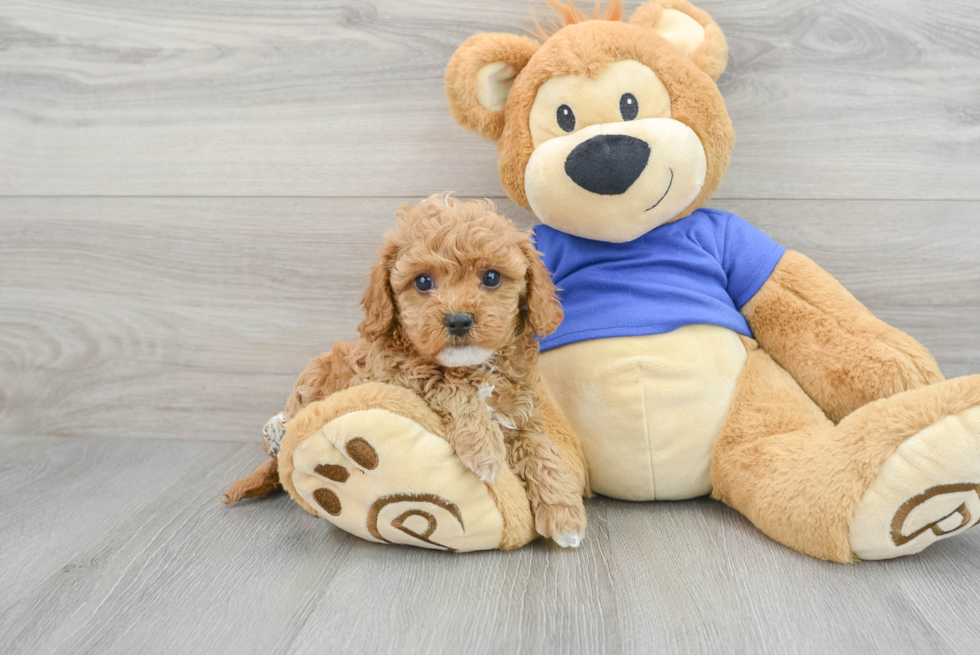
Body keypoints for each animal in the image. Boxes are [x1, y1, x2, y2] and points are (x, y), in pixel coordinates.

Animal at [280, 192, 584, 544]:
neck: (474, 367)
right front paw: (483, 449)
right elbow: (447, 384)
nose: (459, 320)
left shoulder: (519, 413)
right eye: (423, 281)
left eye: (491, 277)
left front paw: (564, 513)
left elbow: (540, 448)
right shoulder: (395, 374)